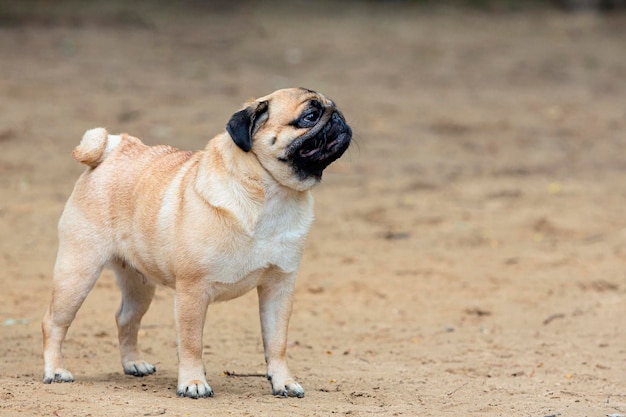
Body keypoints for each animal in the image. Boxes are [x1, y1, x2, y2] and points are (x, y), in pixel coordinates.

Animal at [40, 87, 348, 396]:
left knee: (126, 319)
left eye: (334, 108)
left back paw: (133, 363)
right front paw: (193, 383)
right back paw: (55, 370)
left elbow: (277, 342)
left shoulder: (279, 288)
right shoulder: (192, 290)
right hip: (78, 272)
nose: (339, 117)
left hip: (139, 285)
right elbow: (191, 343)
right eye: (310, 116)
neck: (270, 194)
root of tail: (112, 150)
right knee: (54, 322)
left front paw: (283, 381)